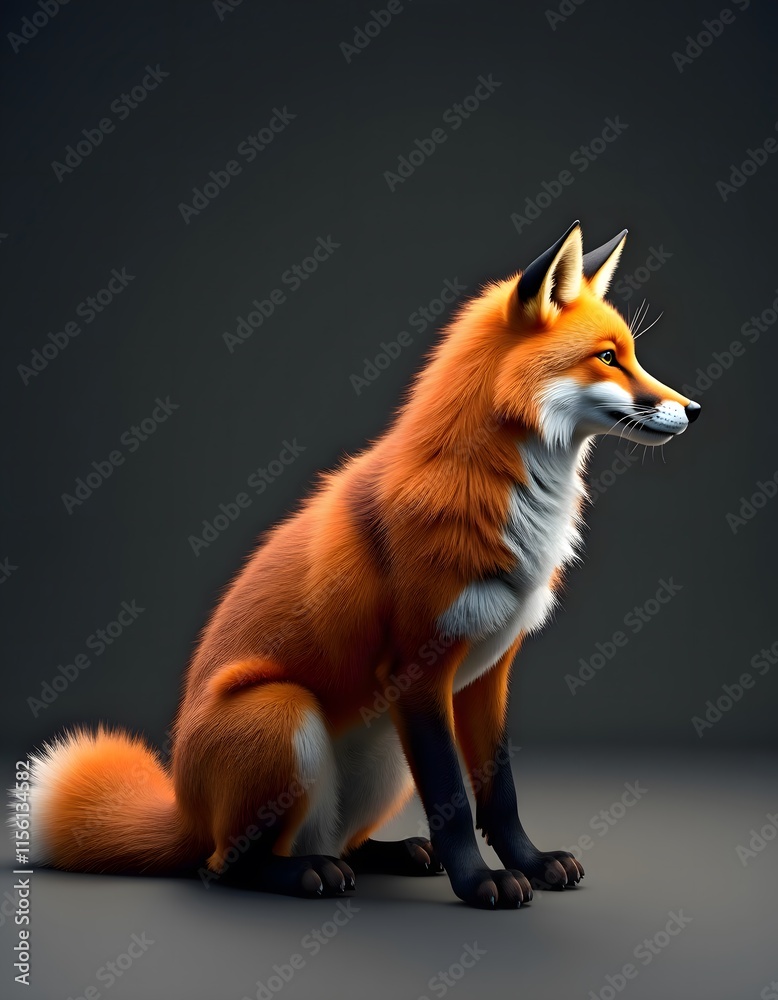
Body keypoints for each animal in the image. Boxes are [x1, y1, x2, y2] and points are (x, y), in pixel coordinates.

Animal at [27, 221, 700, 909]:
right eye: (609, 358)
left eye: (632, 355)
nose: (694, 409)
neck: (498, 492)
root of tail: (186, 812)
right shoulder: (419, 670)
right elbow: (454, 802)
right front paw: (479, 881)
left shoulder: (489, 673)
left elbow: (500, 794)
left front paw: (530, 863)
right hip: (283, 713)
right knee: (224, 867)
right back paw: (307, 875)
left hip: (385, 757)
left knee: (335, 841)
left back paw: (390, 853)